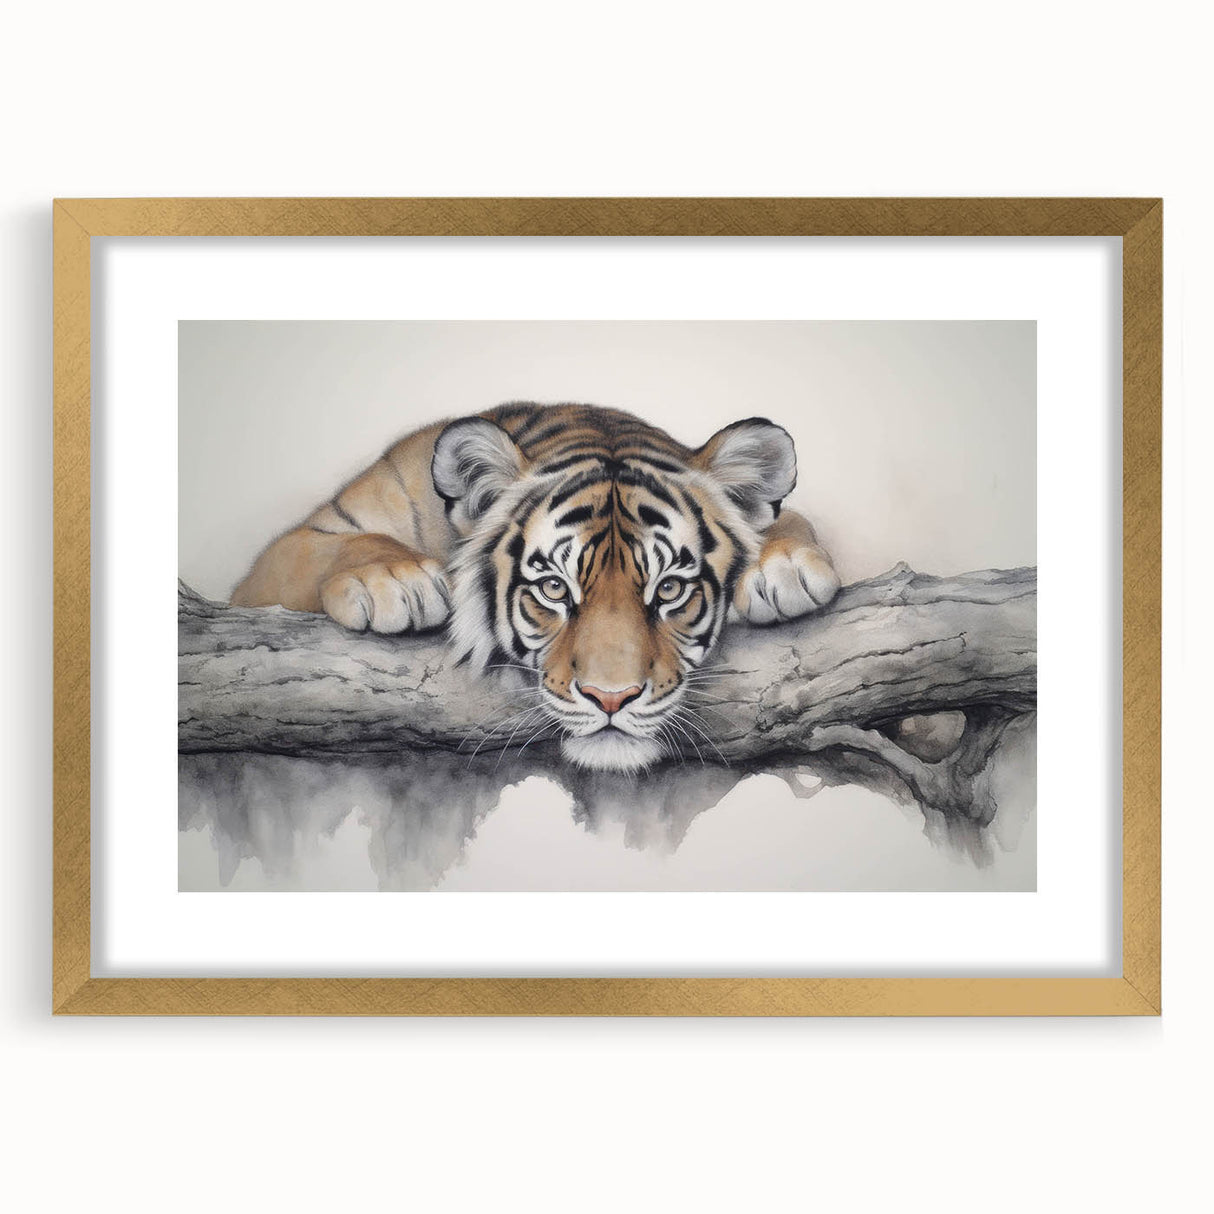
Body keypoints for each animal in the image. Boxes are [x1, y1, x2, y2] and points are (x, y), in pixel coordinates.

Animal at [231, 403, 841, 772]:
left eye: (669, 590)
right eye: (553, 588)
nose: (611, 699)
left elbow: (787, 521)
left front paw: (786, 567)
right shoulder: (282, 557)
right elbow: (338, 545)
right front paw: (397, 581)